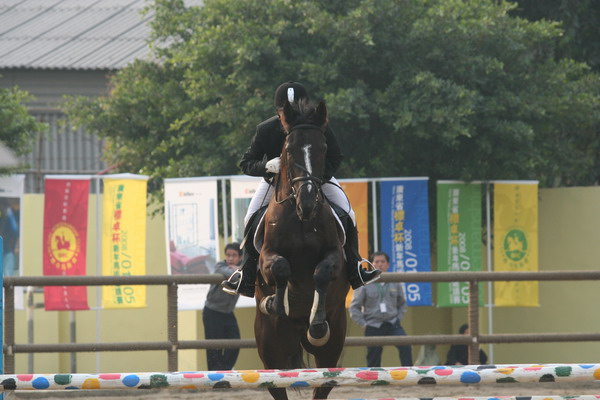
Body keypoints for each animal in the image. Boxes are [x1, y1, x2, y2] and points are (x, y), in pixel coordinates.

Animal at [252, 97, 346, 400]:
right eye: (288, 150)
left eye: (323, 148)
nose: (307, 203)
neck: (300, 219)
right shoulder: (267, 256)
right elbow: (281, 267)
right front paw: (276, 303)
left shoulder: (335, 255)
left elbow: (322, 273)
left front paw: (316, 319)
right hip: (269, 347)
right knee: (274, 382)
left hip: (333, 344)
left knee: (324, 381)